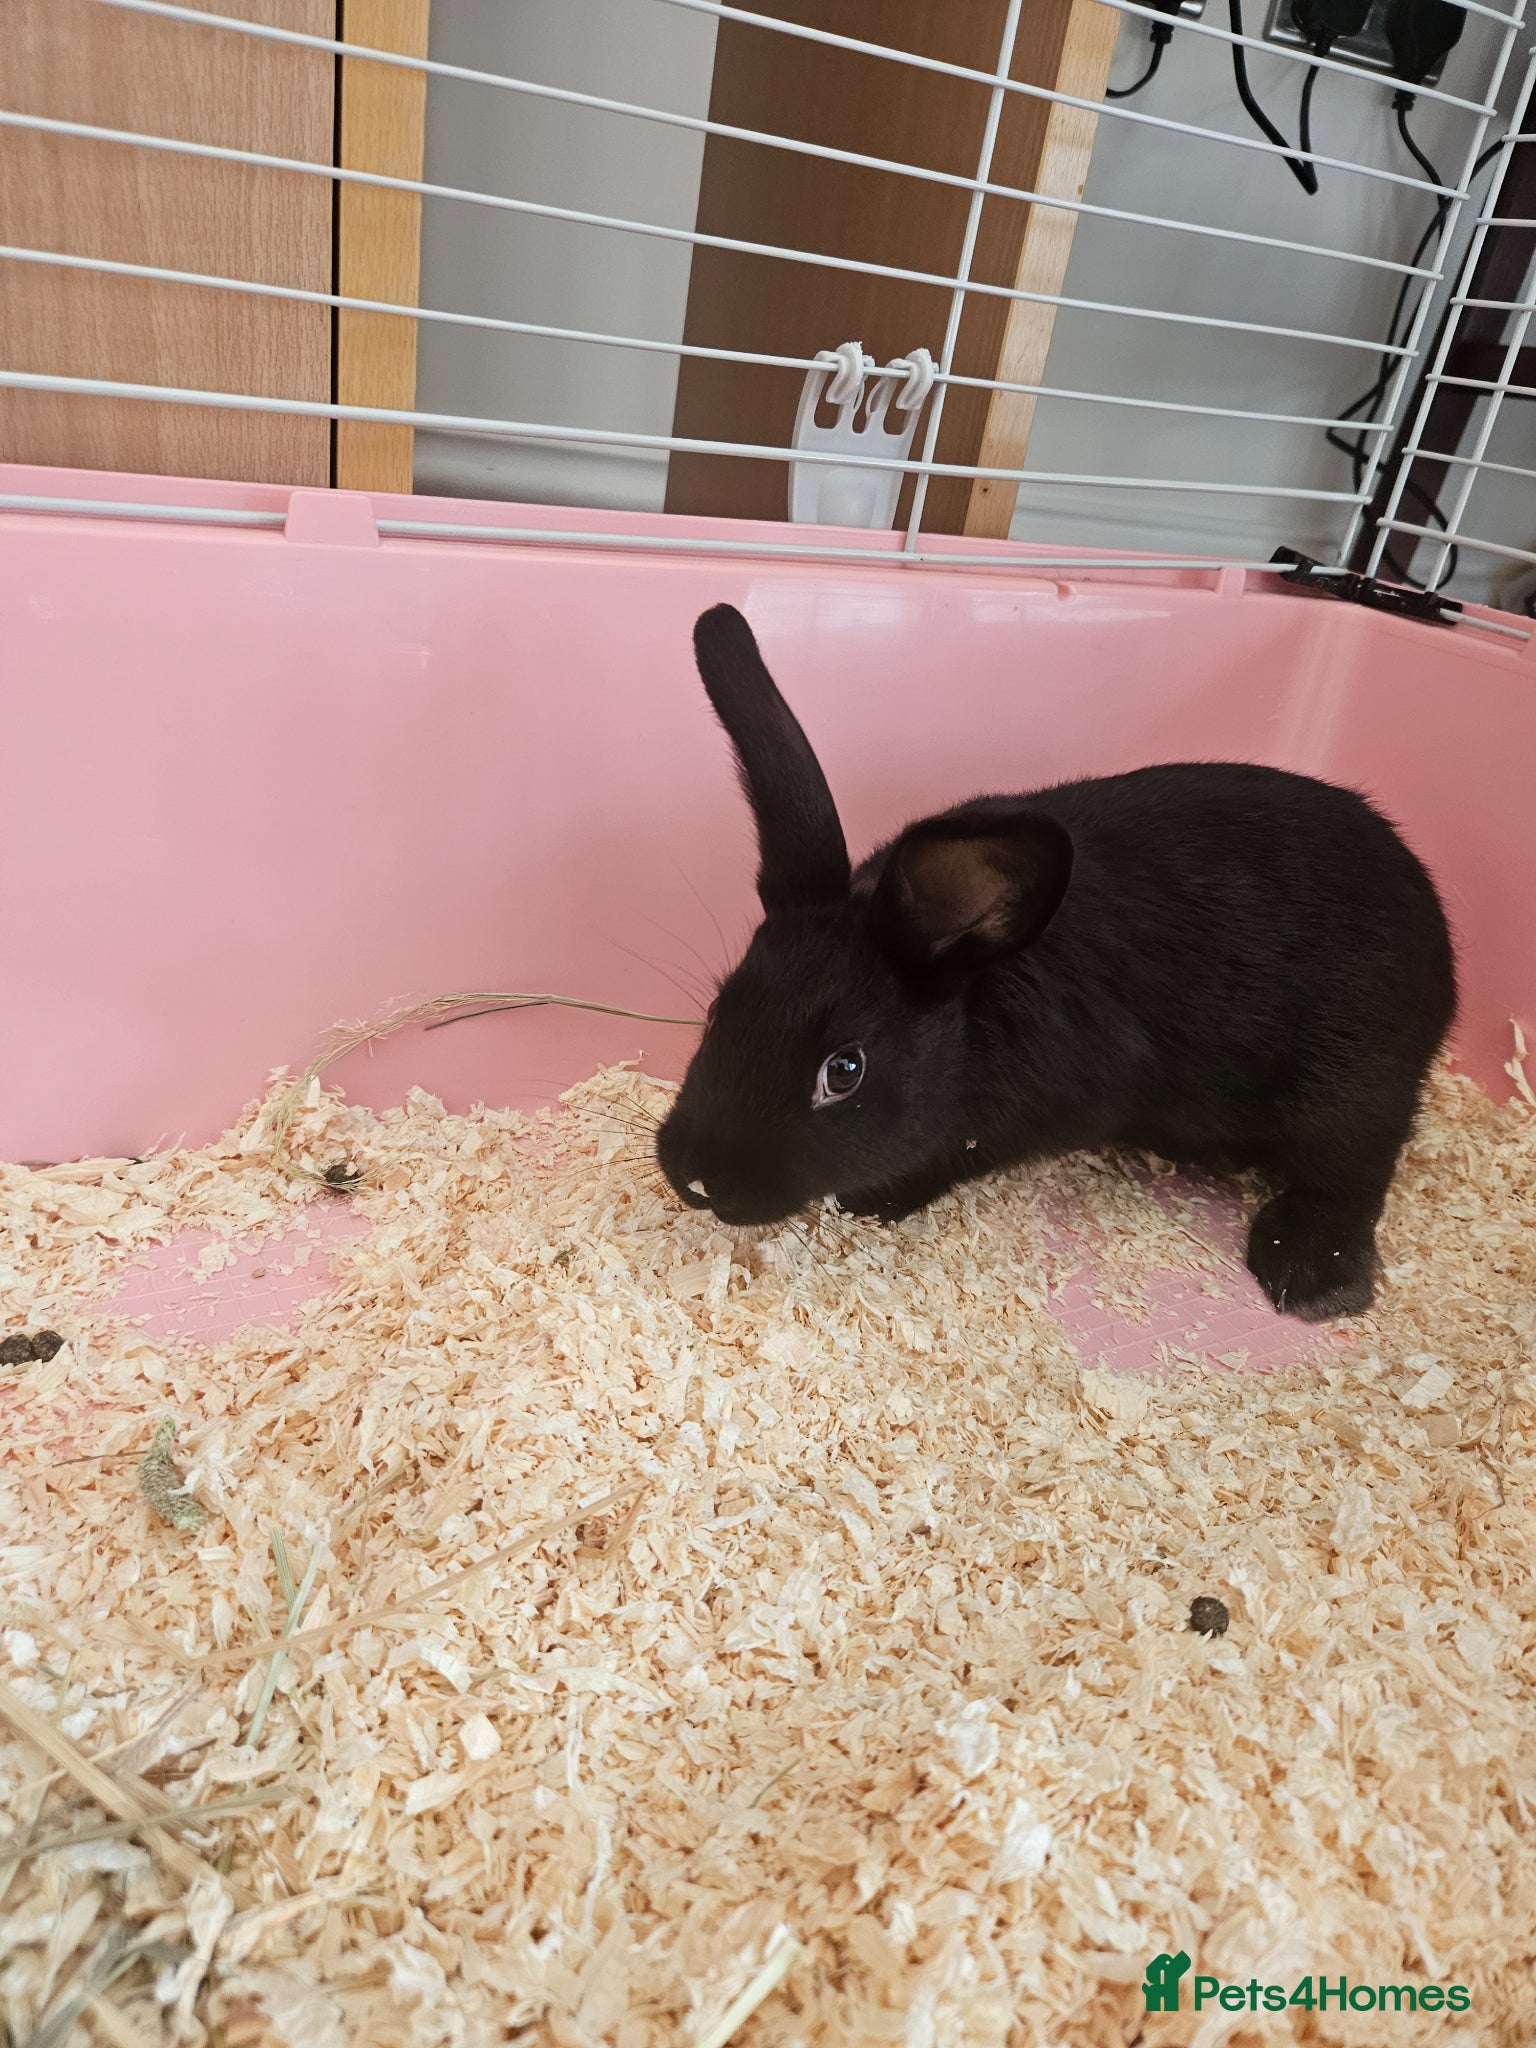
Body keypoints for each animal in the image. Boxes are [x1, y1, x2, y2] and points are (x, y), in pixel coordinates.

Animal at [655, 604, 1457, 1321]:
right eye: (719, 1010)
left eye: (844, 1071)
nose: (697, 1178)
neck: (972, 1012)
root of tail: (1440, 946)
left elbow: (953, 1153)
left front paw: (874, 1199)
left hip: (1351, 1079)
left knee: (1357, 1161)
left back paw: (1308, 1273)